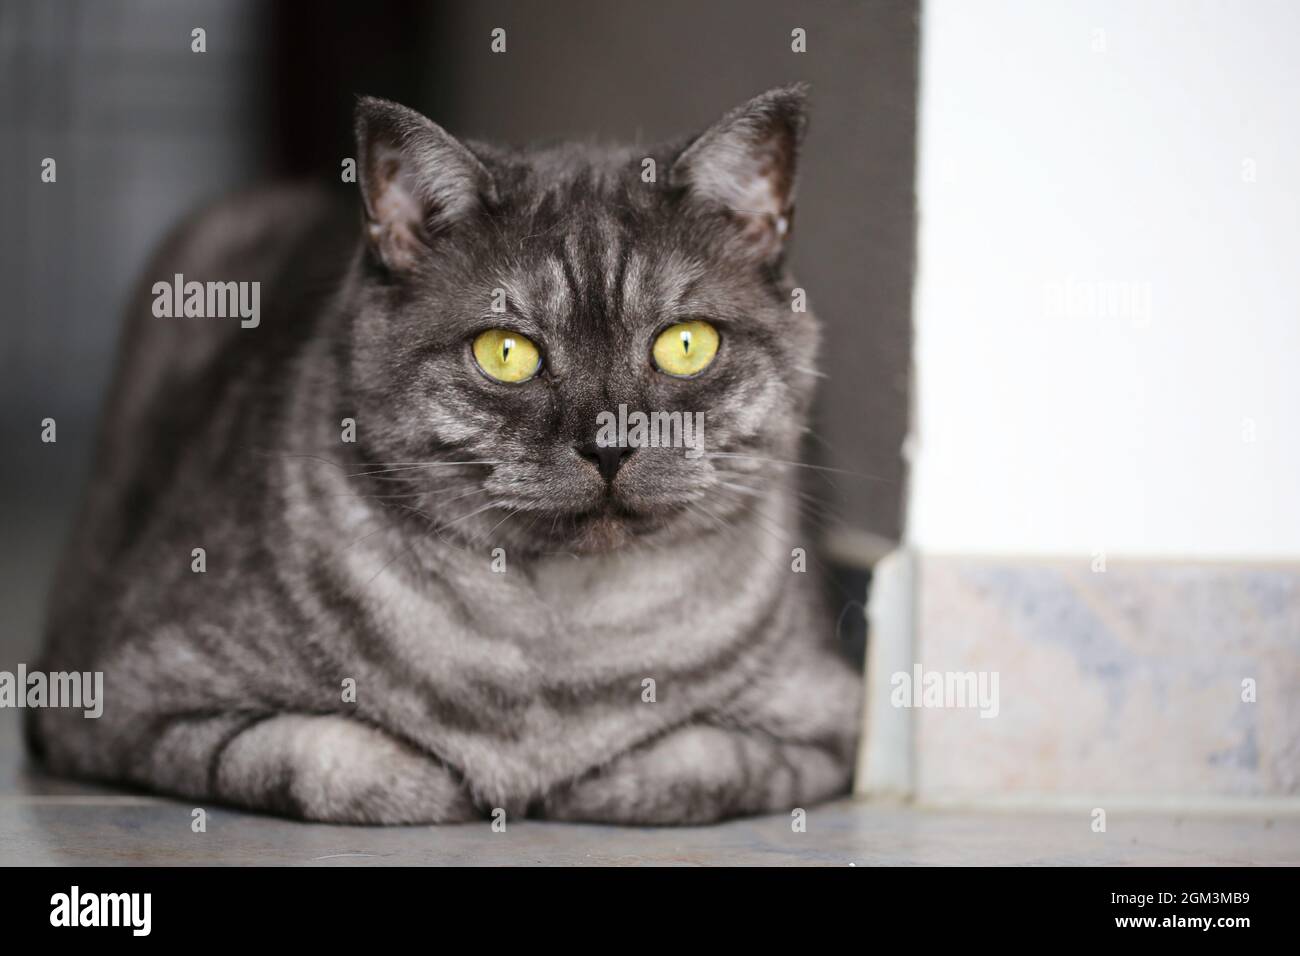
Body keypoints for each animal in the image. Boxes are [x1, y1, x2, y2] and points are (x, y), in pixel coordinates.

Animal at [27, 85, 863, 827]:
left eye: (686, 345)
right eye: (505, 352)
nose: (609, 443)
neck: (557, 638)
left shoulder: (824, 722)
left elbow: (695, 768)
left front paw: (576, 781)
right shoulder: (122, 697)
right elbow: (327, 760)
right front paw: (450, 783)